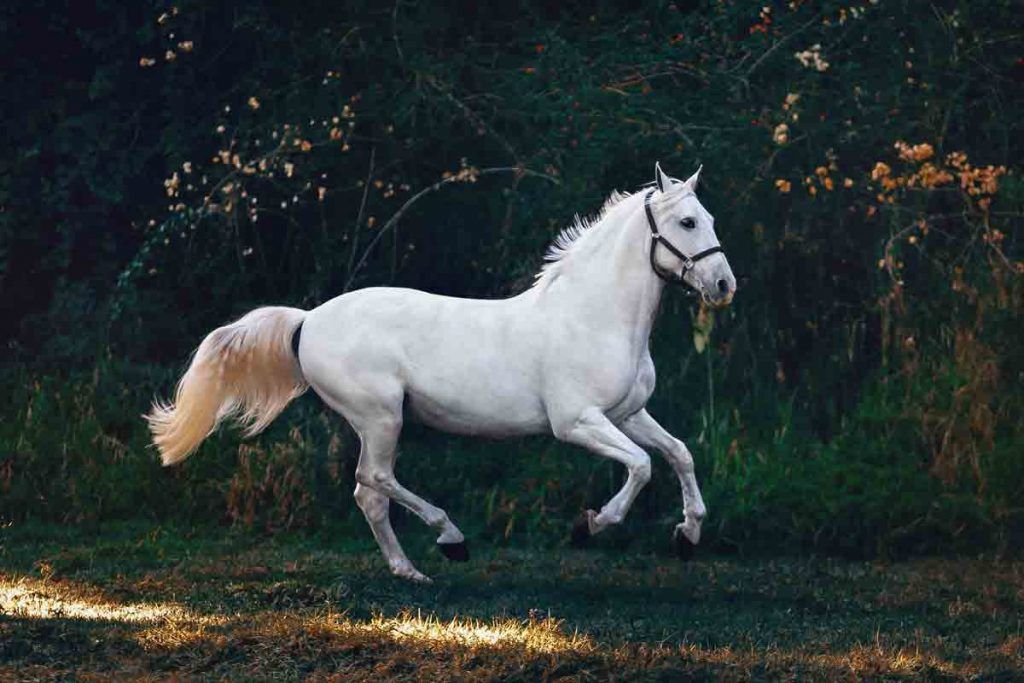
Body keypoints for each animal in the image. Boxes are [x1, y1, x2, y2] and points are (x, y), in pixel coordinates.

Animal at [148, 161, 733, 581]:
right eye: (687, 222)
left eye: (709, 219)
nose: (724, 285)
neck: (594, 315)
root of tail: (308, 320)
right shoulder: (577, 422)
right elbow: (641, 466)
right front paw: (590, 526)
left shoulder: (628, 414)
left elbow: (679, 453)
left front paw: (688, 535)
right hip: (381, 416)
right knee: (374, 480)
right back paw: (450, 540)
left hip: (378, 421)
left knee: (368, 493)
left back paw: (410, 571)